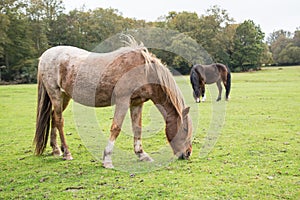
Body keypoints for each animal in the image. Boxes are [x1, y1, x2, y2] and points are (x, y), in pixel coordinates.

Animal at [34, 36, 192, 168]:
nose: (188, 153)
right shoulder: (123, 101)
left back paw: (56, 150)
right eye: (185, 129)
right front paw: (107, 160)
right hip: (55, 94)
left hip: (64, 96)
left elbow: (137, 128)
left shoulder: (137, 103)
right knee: (59, 120)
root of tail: (45, 56)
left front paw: (141, 154)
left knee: (53, 117)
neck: (145, 72)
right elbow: (116, 128)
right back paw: (67, 153)